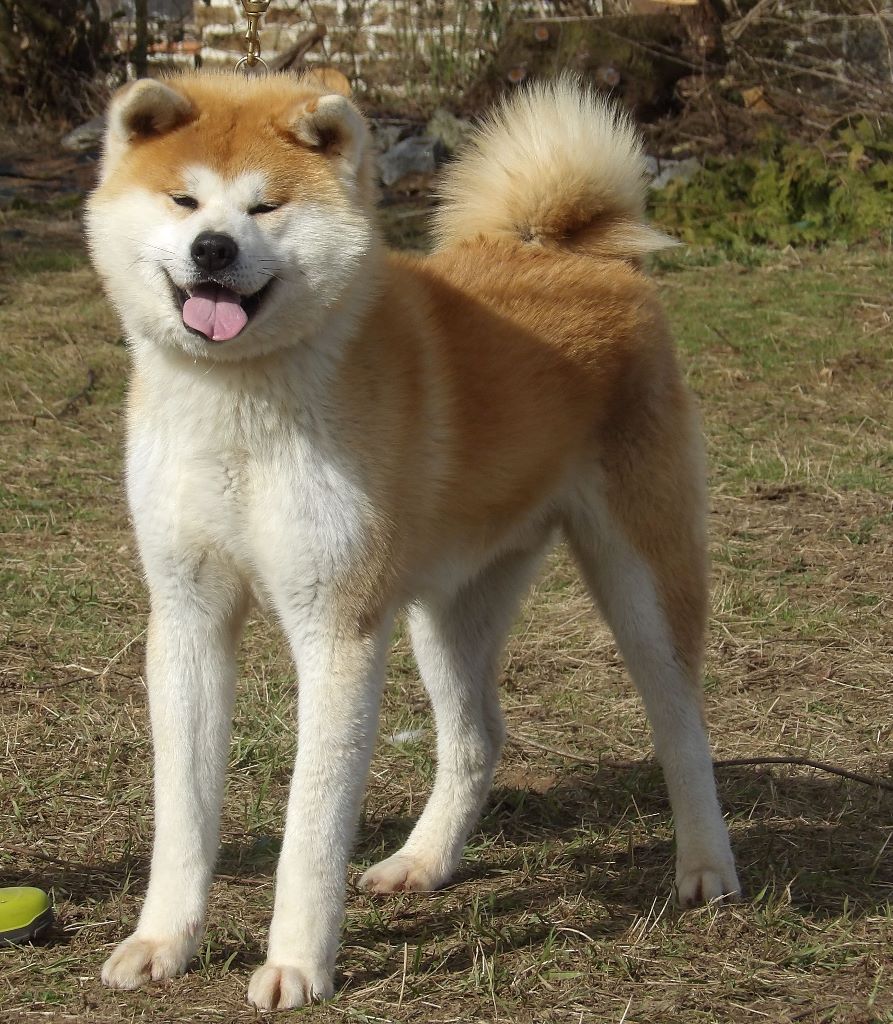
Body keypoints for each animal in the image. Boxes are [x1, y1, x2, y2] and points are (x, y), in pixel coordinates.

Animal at [85, 68, 740, 1009]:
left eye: (266, 206)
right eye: (184, 199)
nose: (212, 249)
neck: (240, 404)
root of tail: (579, 254)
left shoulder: (338, 629)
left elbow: (311, 825)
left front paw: (297, 964)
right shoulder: (187, 614)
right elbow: (182, 811)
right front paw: (162, 940)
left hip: (642, 581)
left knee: (682, 723)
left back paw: (705, 866)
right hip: (449, 605)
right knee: (477, 735)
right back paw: (424, 862)